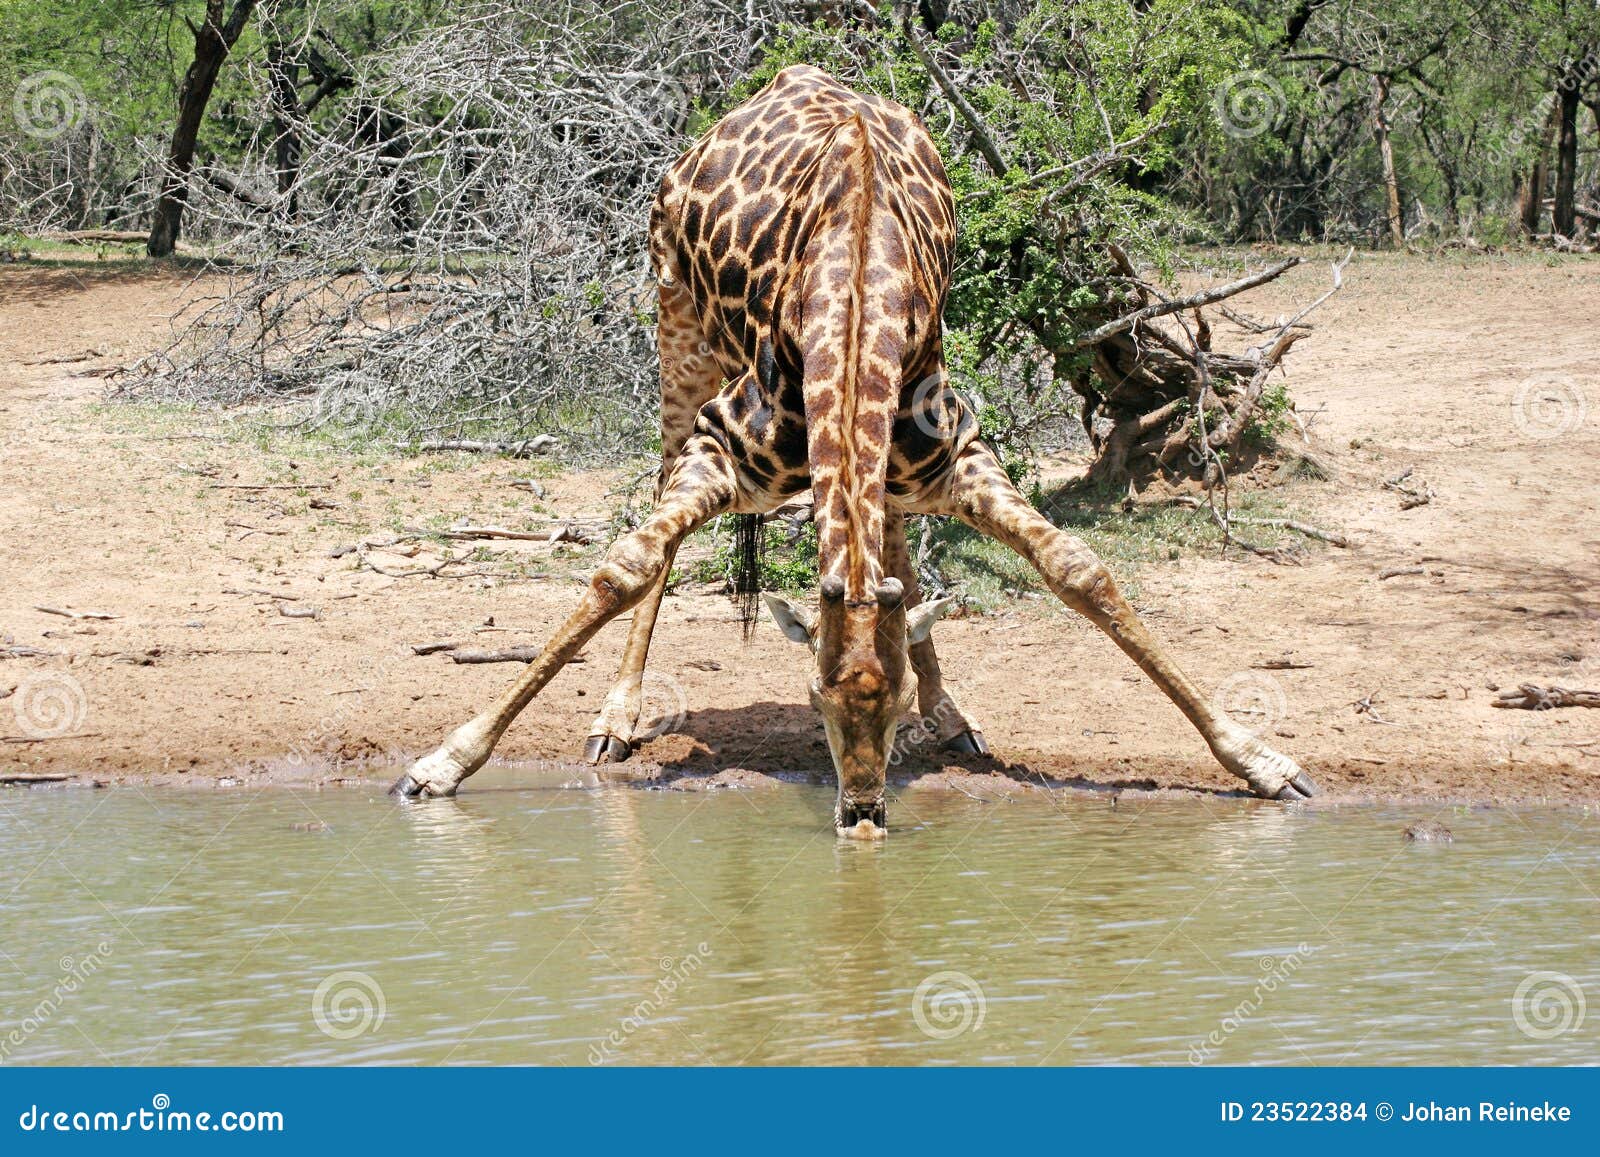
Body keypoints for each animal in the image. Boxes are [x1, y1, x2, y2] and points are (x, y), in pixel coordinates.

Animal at [387, 65, 1312, 832]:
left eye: (890, 706)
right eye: (814, 701)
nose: (862, 813)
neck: (859, 281)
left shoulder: (957, 452)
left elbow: (1080, 570)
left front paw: (1264, 762)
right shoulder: (723, 445)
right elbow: (626, 565)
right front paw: (441, 763)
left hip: (887, 458)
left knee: (893, 541)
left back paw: (956, 711)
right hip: (675, 332)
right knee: (661, 513)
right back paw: (616, 719)